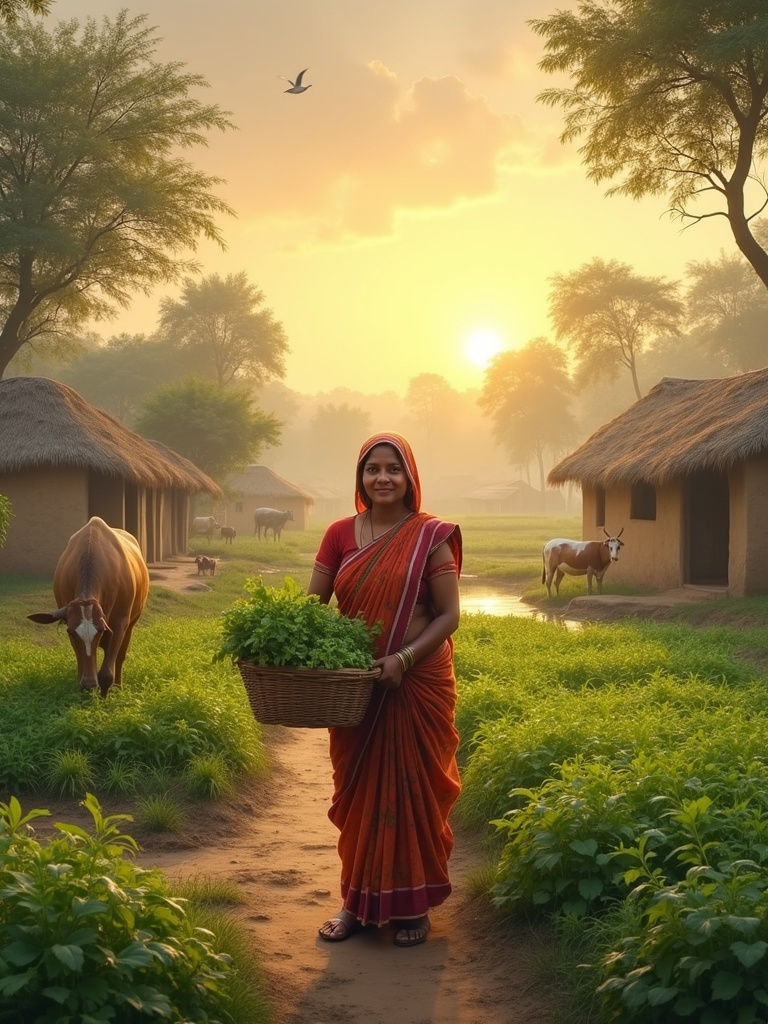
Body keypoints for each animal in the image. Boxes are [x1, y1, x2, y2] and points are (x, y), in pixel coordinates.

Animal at [28, 520, 150, 696]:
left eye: (101, 631)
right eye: (71, 632)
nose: (90, 683)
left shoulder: (119, 622)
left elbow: (107, 673)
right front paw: (85, 689)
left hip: (131, 623)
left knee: (120, 656)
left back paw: (118, 686)